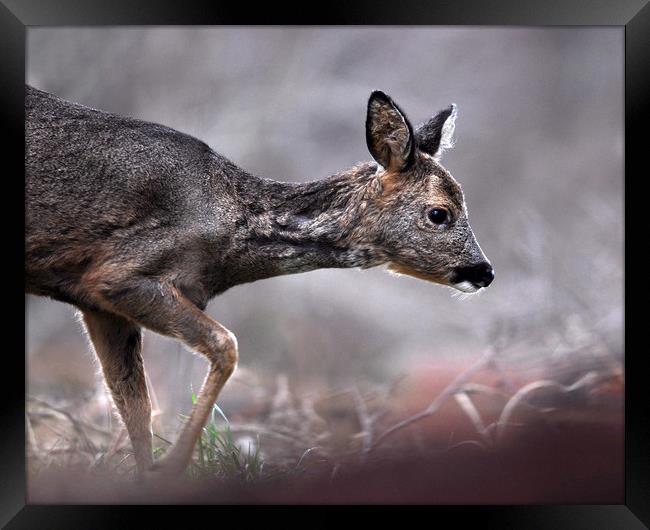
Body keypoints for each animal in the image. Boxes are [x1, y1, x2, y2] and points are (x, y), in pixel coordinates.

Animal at [24, 85, 492, 474]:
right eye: (440, 213)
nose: (485, 271)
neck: (233, 229)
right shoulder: (115, 274)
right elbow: (224, 345)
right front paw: (173, 465)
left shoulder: (99, 307)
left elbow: (135, 405)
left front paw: (147, 474)